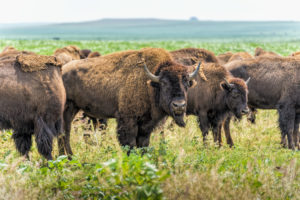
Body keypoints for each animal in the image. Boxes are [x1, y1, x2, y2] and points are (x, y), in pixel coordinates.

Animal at [58, 47, 199, 155]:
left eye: (186, 82)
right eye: (164, 83)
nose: (179, 105)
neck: (150, 83)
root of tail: (62, 70)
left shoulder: (146, 124)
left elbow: (143, 144)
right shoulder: (127, 120)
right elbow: (129, 144)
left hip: (73, 109)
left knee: (64, 132)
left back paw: (67, 157)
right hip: (68, 108)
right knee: (65, 133)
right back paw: (68, 157)